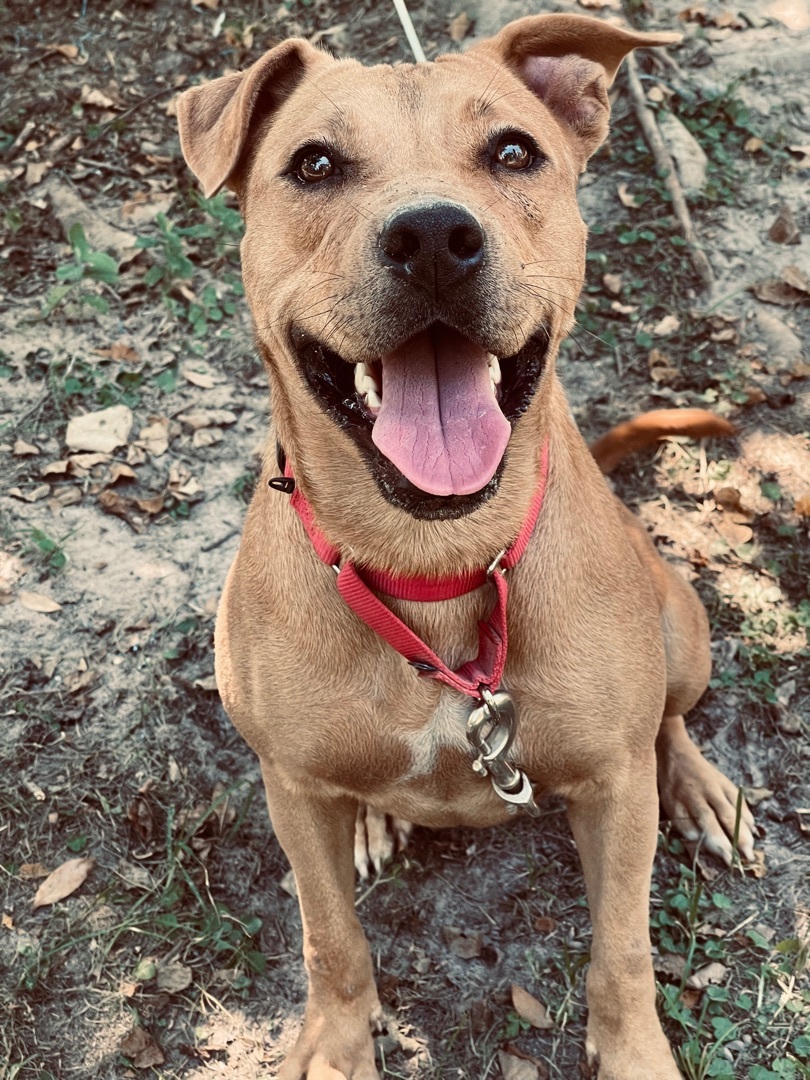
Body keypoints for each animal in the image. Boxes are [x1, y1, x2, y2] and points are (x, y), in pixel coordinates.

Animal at [179, 16, 760, 1080]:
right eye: (313, 164)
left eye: (514, 153)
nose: (434, 240)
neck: (434, 561)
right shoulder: (290, 790)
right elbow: (330, 938)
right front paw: (336, 1043)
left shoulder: (613, 792)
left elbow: (623, 949)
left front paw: (635, 1051)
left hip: (683, 628)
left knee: (670, 719)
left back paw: (702, 791)